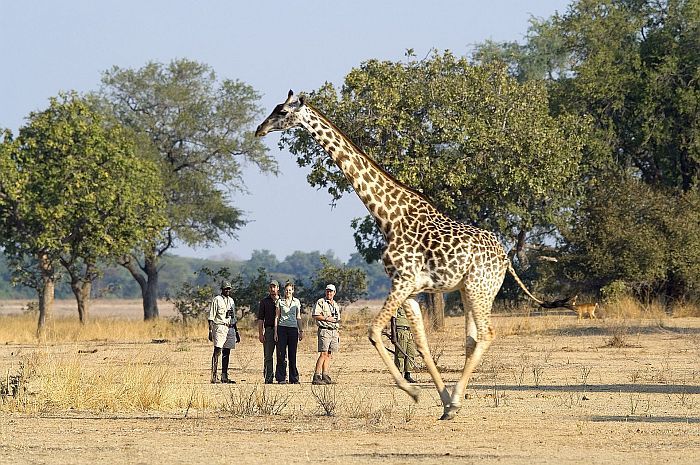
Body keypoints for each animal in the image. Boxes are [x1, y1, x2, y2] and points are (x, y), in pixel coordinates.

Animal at [254, 89, 560, 418]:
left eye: (282, 111)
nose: (259, 129)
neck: (388, 216)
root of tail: (505, 256)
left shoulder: (401, 281)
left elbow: (374, 332)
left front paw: (414, 392)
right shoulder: (412, 290)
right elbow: (421, 344)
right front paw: (441, 400)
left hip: (480, 288)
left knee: (487, 333)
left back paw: (457, 399)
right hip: (469, 290)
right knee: (472, 339)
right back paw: (455, 401)